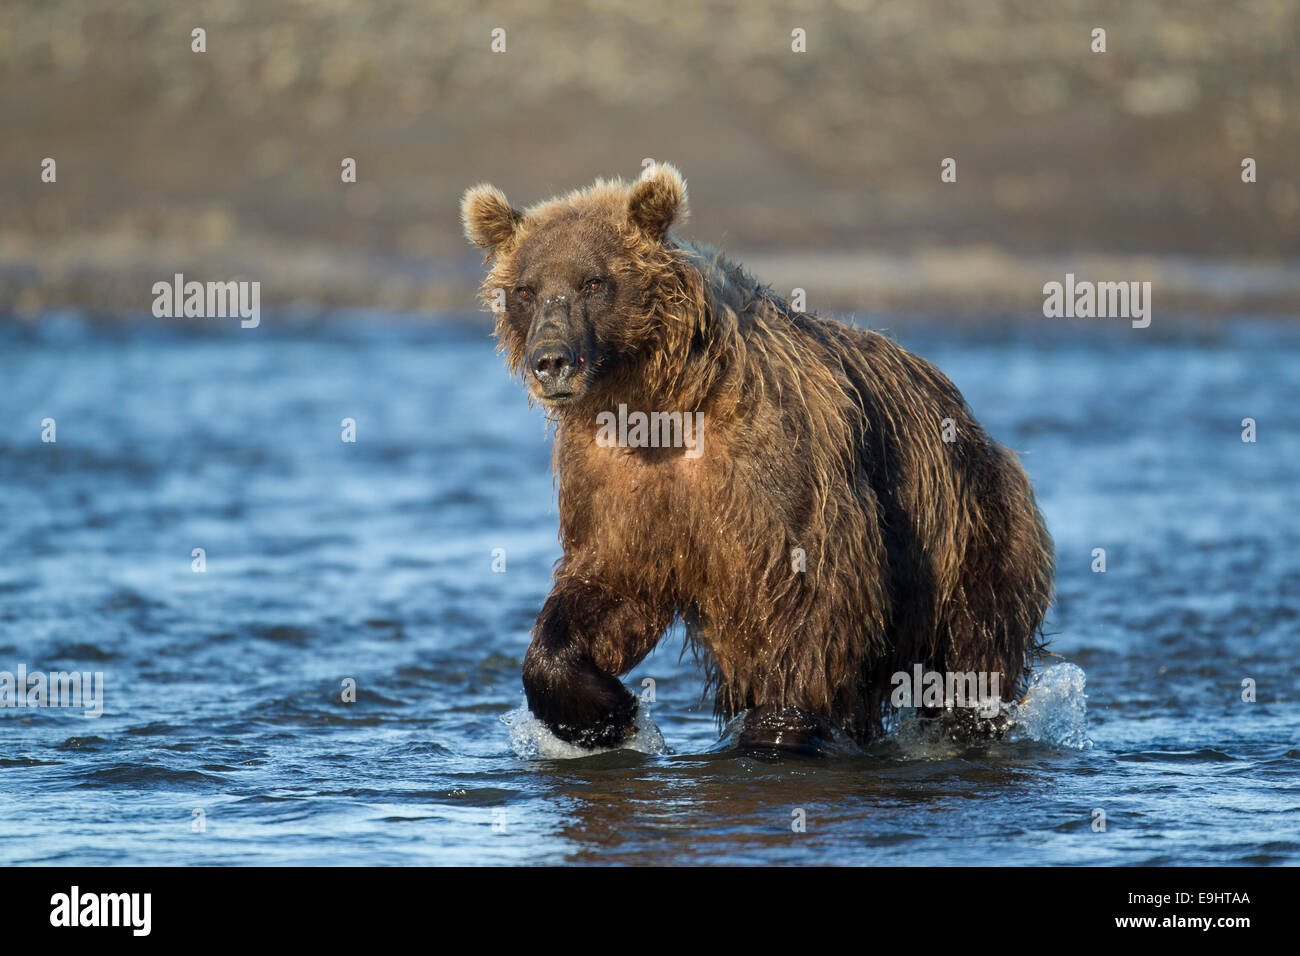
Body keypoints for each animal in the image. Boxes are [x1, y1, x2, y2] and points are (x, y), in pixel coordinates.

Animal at [462, 164, 1050, 754]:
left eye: (593, 282)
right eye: (526, 289)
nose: (551, 360)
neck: (663, 406)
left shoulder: (780, 468)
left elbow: (815, 596)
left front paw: (777, 729)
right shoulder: (616, 483)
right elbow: (607, 587)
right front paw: (608, 712)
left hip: (968, 537)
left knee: (970, 658)